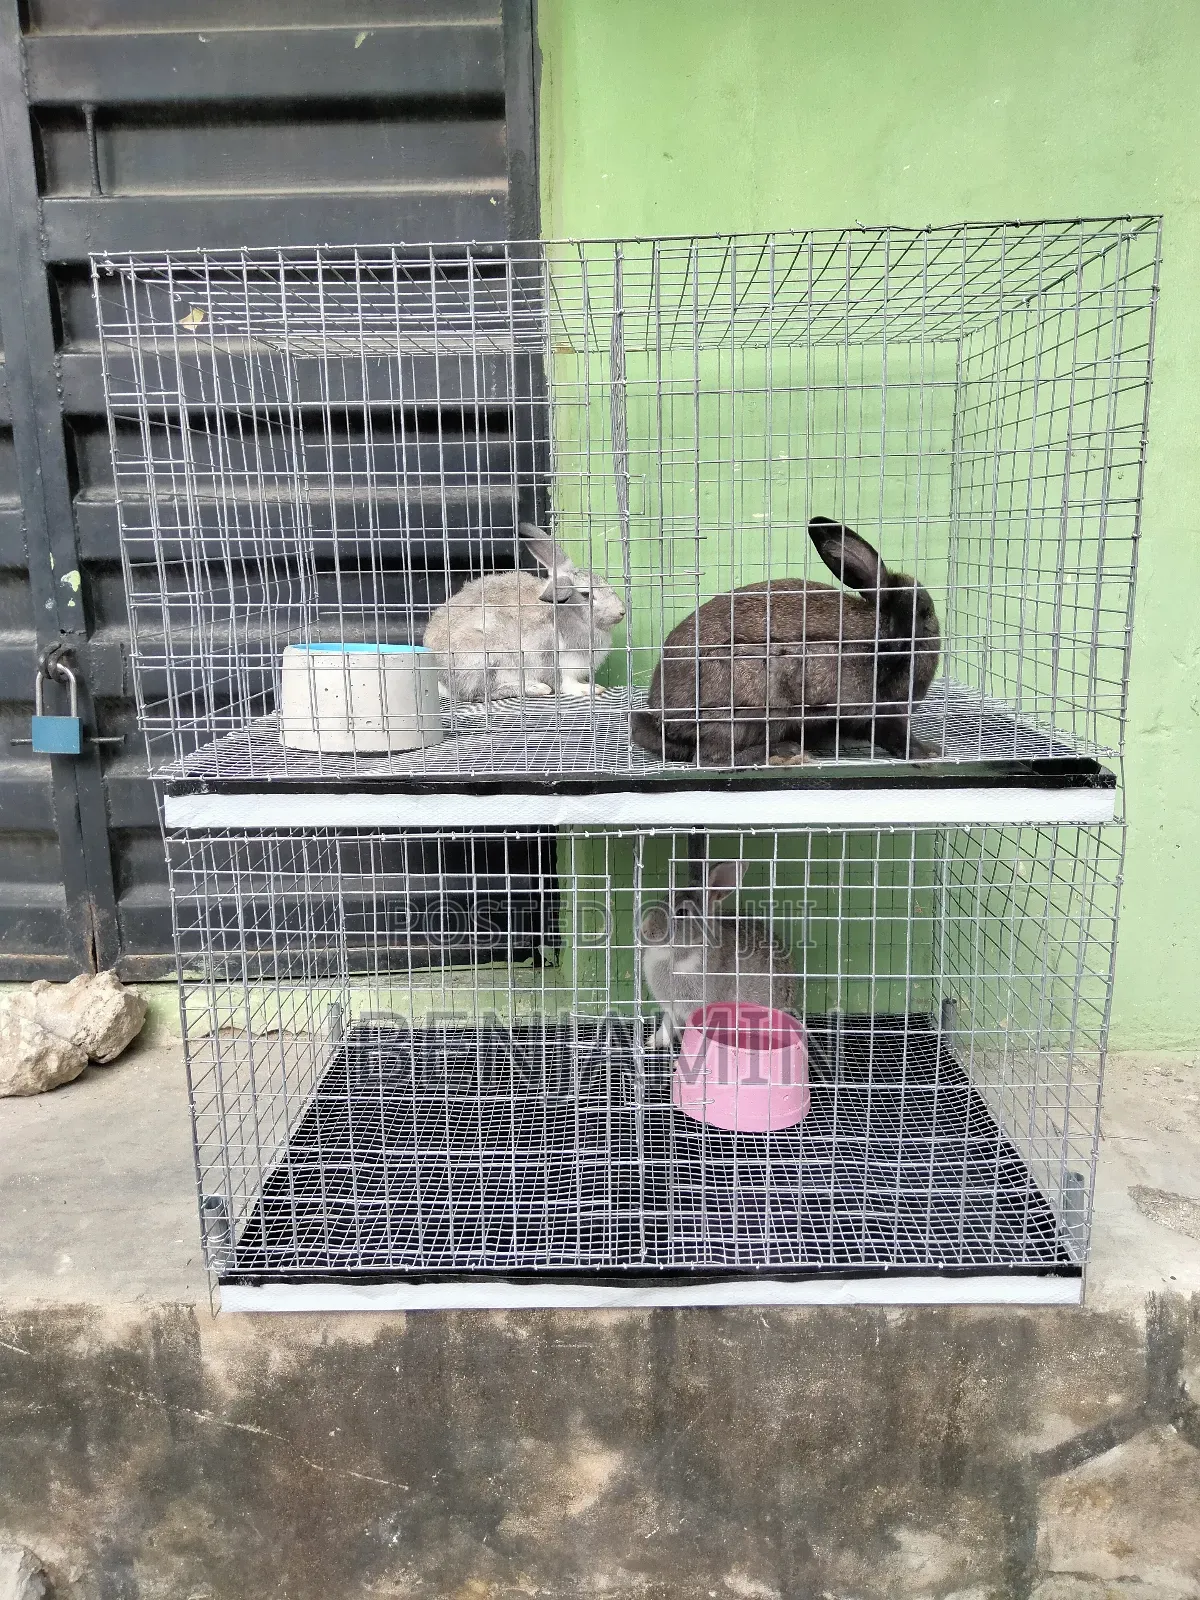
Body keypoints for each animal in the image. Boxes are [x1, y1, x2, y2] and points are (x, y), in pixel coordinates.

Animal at [422, 526, 625, 703]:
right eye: (586, 595)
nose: (621, 611)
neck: (566, 613)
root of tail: (440, 677)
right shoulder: (548, 654)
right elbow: (561, 682)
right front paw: (587, 689)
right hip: (482, 659)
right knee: (477, 694)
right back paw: (534, 688)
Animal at [630, 516, 941, 766]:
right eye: (923, 610)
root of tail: (662, 718)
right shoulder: (873, 711)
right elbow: (895, 736)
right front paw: (929, 752)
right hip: (756, 707)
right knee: (709, 758)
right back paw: (786, 753)